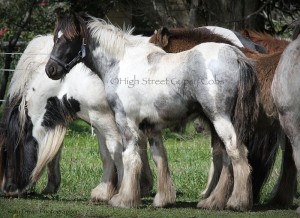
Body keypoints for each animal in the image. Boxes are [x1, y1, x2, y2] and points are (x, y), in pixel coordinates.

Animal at [0, 35, 155, 202]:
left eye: (8, 148)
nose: (8, 190)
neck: (76, 81)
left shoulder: (106, 120)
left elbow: (117, 152)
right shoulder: (97, 120)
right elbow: (105, 153)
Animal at [43, 12, 258, 210]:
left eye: (68, 39)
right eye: (55, 38)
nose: (50, 70)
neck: (121, 63)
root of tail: (235, 55)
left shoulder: (126, 123)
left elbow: (130, 157)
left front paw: (124, 199)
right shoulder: (152, 127)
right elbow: (159, 159)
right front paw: (163, 199)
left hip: (219, 118)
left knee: (236, 152)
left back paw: (237, 202)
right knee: (228, 158)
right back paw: (213, 201)